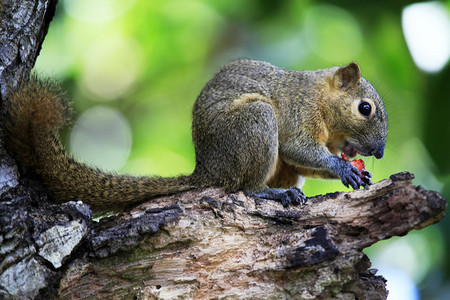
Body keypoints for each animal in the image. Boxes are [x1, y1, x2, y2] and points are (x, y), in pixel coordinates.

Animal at [4, 59, 386, 213]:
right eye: (364, 108)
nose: (380, 153)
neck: (320, 97)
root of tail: (208, 170)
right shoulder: (297, 112)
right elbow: (298, 148)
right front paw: (343, 168)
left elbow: (307, 163)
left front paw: (360, 172)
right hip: (255, 123)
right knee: (243, 187)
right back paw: (272, 193)